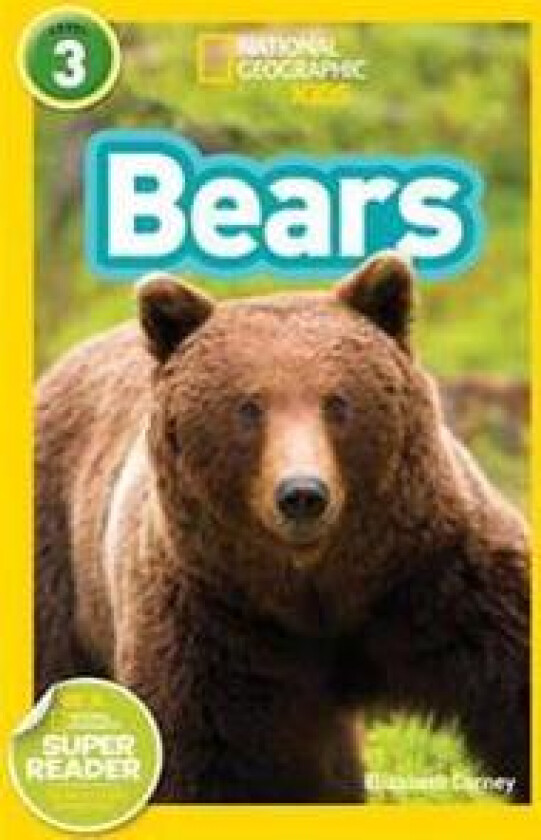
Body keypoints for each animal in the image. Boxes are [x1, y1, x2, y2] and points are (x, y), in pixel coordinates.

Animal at [34, 252, 530, 803]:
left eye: (338, 402)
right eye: (248, 408)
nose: (302, 494)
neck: (314, 589)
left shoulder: (439, 578)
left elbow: (512, 677)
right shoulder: (212, 627)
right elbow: (196, 760)